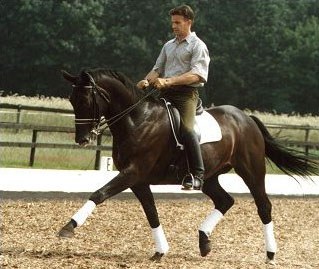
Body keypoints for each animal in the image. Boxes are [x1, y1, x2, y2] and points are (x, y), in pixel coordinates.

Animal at [58, 68, 318, 262]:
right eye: (71, 100)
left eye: (86, 100)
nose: (82, 139)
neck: (137, 120)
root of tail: (246, 118)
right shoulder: (137, 179)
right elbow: (151, 212)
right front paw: (160, 251)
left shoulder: (133, 173)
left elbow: (99, 194)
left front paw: (68, 227)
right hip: (210, 176)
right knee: (225, 201)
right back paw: (204, 242)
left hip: (251, 170)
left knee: (263, 206)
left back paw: (270, 254)